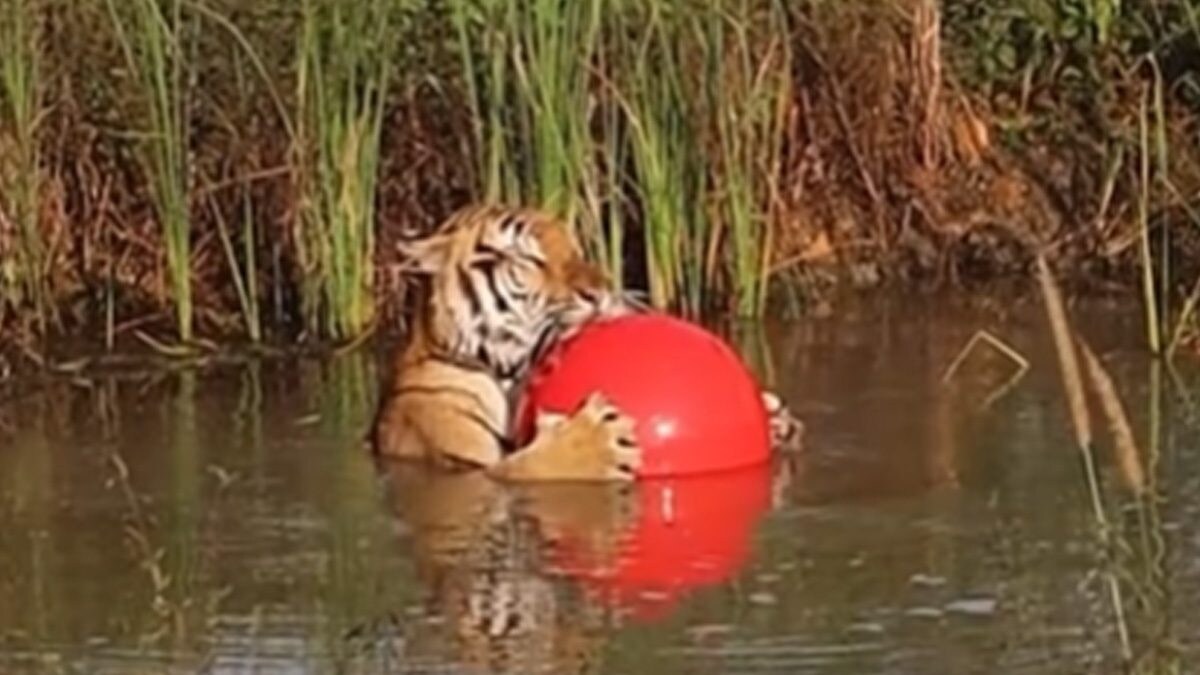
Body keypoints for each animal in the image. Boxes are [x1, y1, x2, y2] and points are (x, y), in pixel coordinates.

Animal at [369, 199, 801, 478]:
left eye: (574, 248)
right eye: (530, 260)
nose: (600, 291)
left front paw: (775, 416)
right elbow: (523, 467)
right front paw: (597, 440)